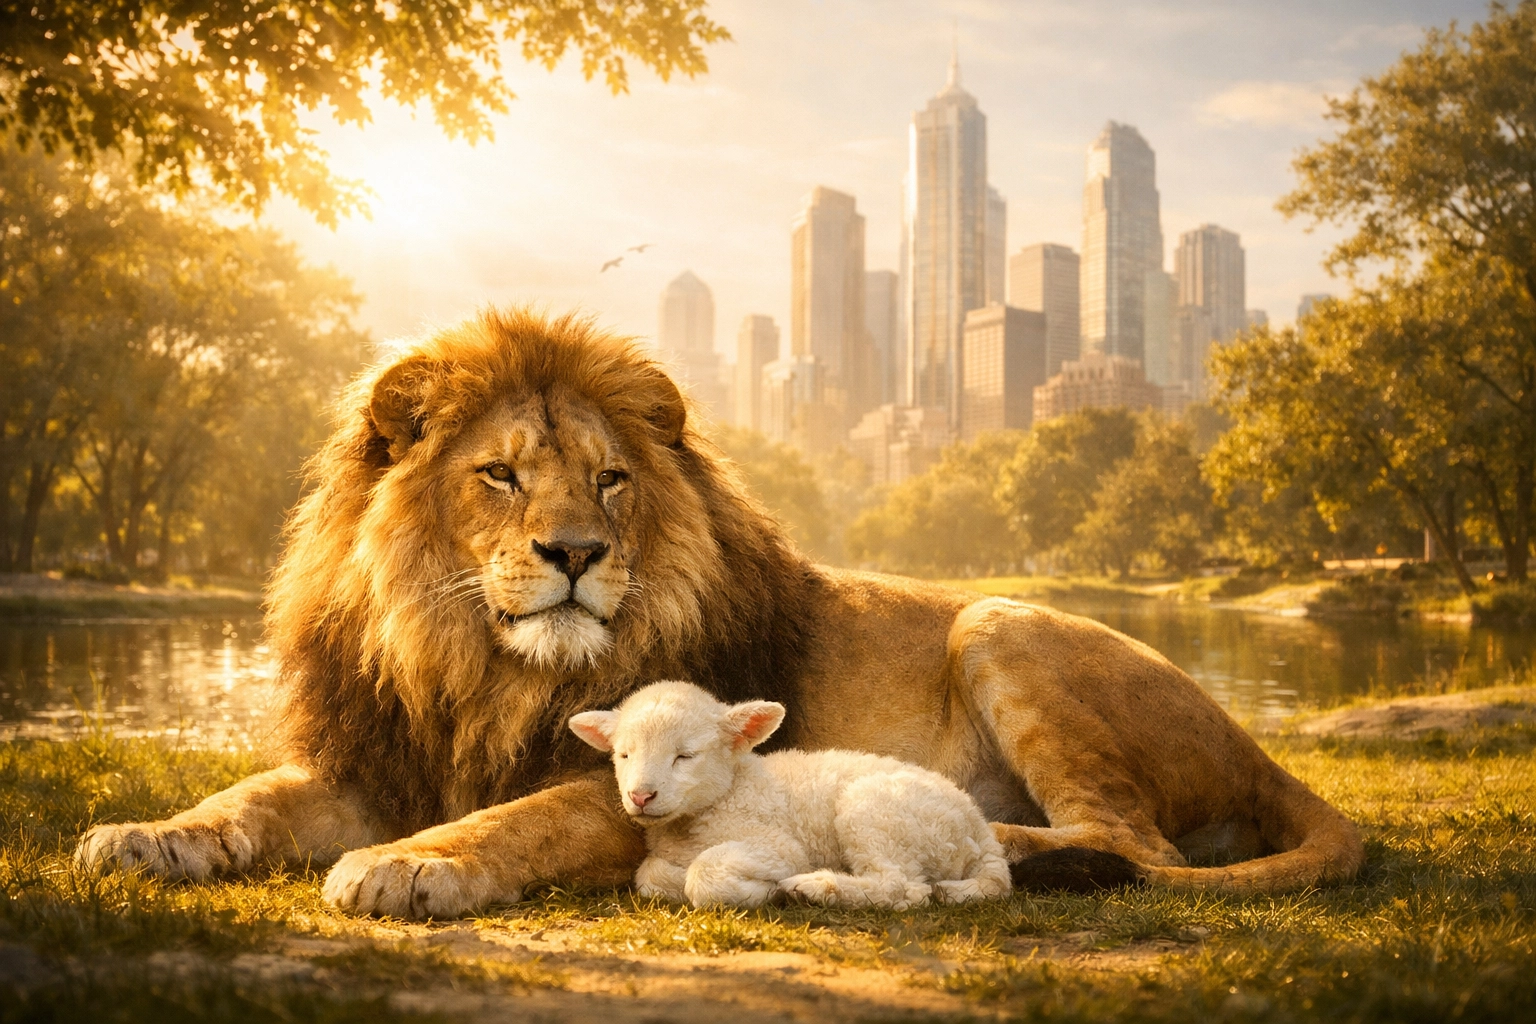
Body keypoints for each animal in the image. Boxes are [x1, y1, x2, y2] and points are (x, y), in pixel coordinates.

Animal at [568, 680, 1012, 910]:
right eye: (624, 754)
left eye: (684, 756)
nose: (641, 796)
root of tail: (981, 831)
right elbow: (649, 875)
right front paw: (674, 879)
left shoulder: (778, 845)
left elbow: (704, 873)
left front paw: (760, 890)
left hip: (878, 813)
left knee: (903, 889)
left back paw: (812, 888)